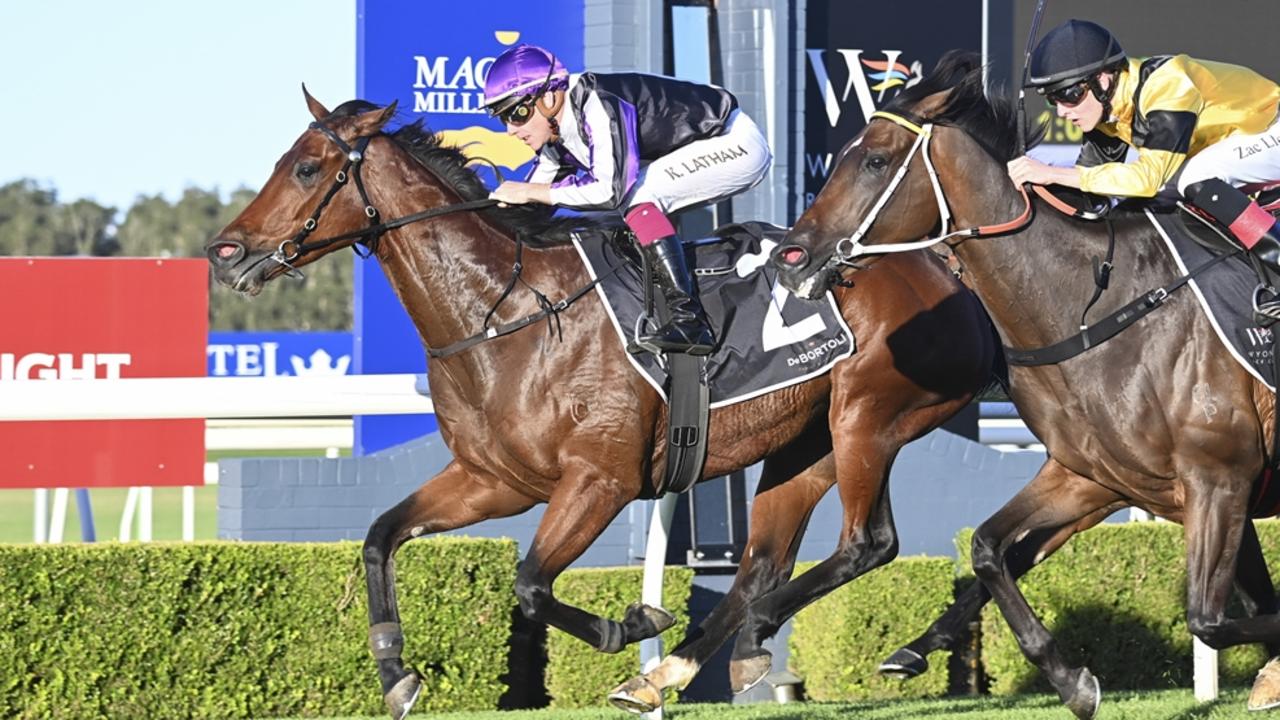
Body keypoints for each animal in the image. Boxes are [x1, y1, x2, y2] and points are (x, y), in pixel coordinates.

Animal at [204, 88, 993, 712]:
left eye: (307, 167)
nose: (225, 252)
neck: (507, 312)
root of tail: (941, 264)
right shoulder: (492, 480)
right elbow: (380, 535)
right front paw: (395, 671)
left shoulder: (600, 480)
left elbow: (529, 584)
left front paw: (632, 624)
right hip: (806, 441)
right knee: (760, 567)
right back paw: (691, 666)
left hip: (867, 419)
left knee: (866, 544)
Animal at [768, 49, 1280, 712]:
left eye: (875, 159)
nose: (791, 258)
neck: (1098, 309)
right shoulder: (1092, 477)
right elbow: (989, 549)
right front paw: (1072, 682)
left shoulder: (1220, 479)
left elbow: (1208, 619)